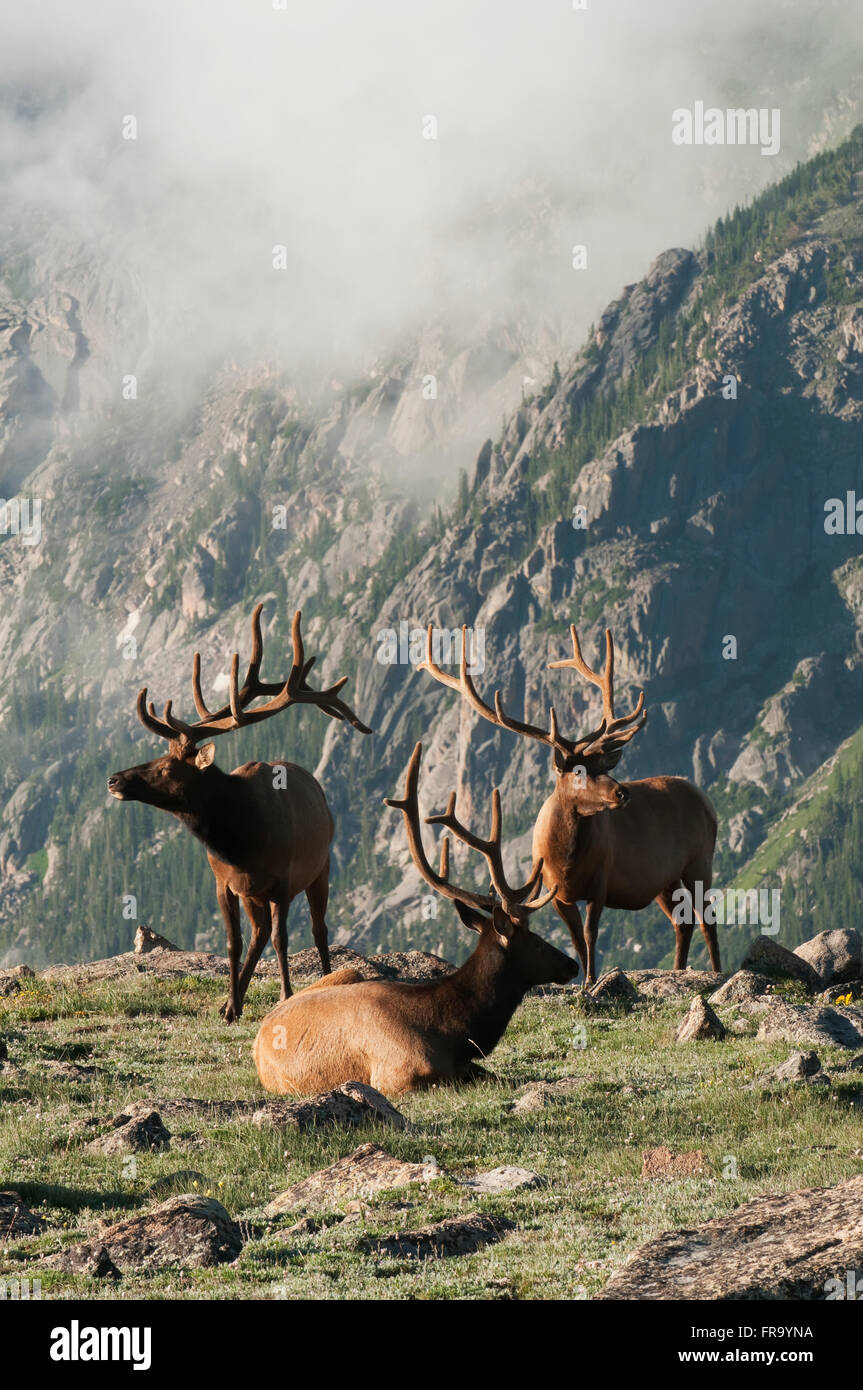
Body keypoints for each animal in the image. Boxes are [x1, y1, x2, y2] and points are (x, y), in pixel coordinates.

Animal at [107, 603, 371, 1022]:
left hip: (321, 868)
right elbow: (234, 942)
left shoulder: (283, 880)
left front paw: (285, 996)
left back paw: (326, 979)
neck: (241, 842)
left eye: (165, 768)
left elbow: (283, 939)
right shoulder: (225, 883)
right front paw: (231, 1006)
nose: (114, 779)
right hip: (255, 893)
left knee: (318, 929)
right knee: (259, 933)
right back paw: (233, 1000)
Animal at [253, 742, 576, 1096]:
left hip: (349, 971)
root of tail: (259, 1035)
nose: (572, 964)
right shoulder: (397, 1075)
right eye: (536, 940)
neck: (452, 1034)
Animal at [419, 622, 719, 985]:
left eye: (601, 766)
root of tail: (706, 801)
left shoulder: (602, 880)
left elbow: (590, 934)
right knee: (682, 920)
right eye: (578, 771)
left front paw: (591, 980)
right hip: (664, 879)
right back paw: (677, 969)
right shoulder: (557, 893)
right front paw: (586, 980)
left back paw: (715, 970)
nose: (622, 793)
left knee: (707, 917)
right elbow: (577, 939)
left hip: (699, 860)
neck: (567, 860)